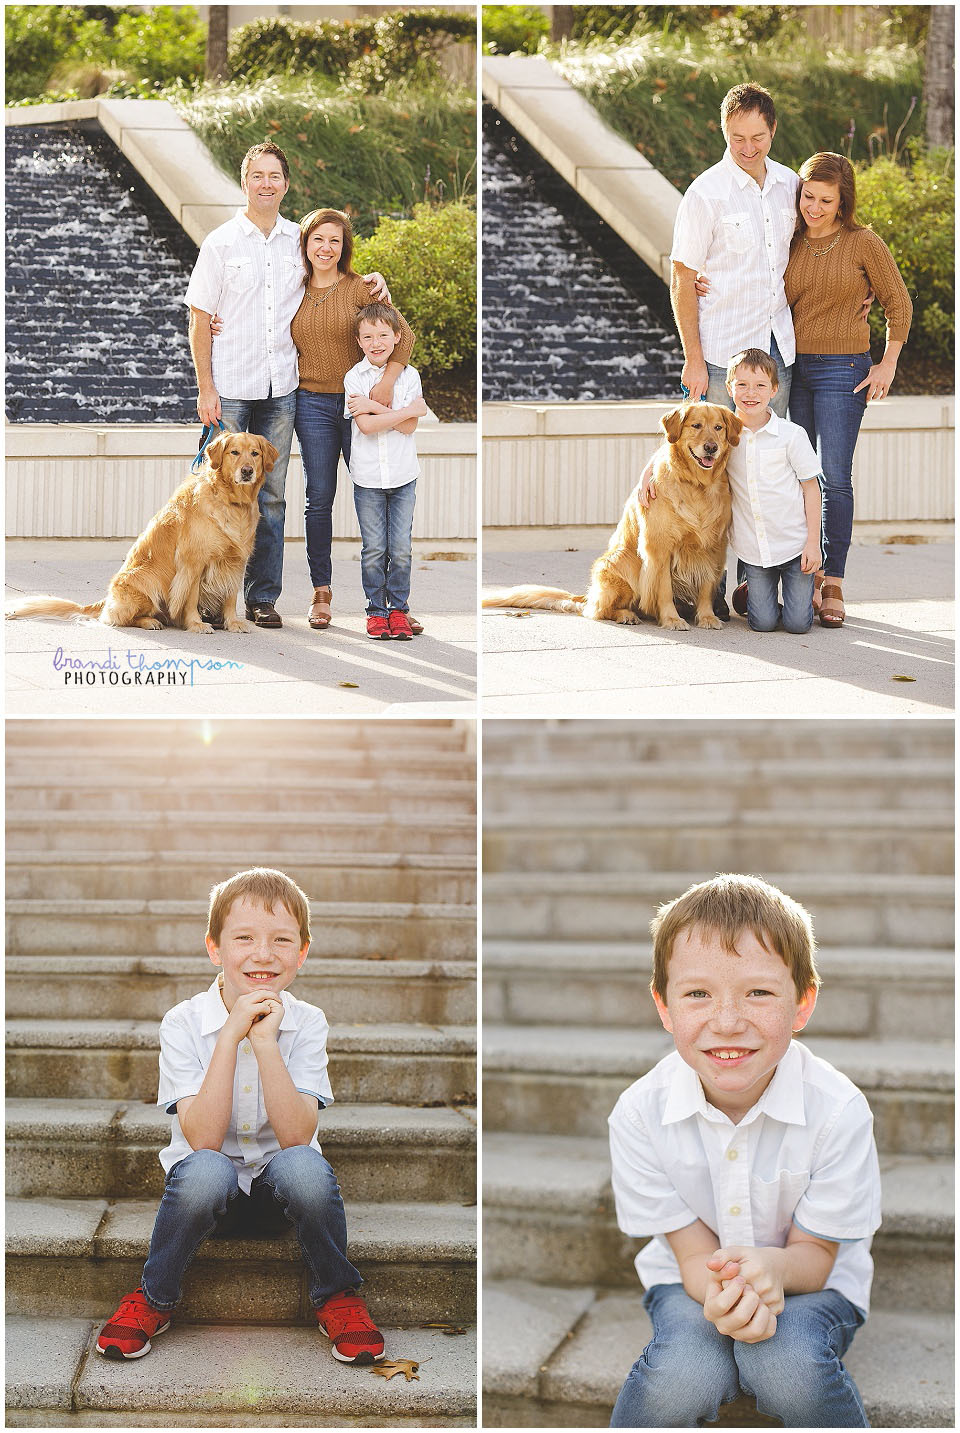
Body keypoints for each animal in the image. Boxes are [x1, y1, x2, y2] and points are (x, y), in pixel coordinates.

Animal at [6, 429, 277, 633]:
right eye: (234, 452)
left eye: (255, 453)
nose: (247, 470)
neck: (232, 503)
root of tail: (106, 599)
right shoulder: (192, 562)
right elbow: (190, 597)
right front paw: (196, 624)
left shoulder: (236, 560)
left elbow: (231, 596)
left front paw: (232, 623)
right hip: (146, 578)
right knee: (120, 619)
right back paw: (150, 621)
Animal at [481, 404, 745, 627]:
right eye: (696, 425)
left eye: (718, 428)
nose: (711, 447)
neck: (697, 486)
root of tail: (587, 596)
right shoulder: (658, 547)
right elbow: (664, 589)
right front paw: (671, 619)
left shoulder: (713, 546)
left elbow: (707, 586)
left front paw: (707, 617)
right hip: (621, 562)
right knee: (599, 610)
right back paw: (626, 614)